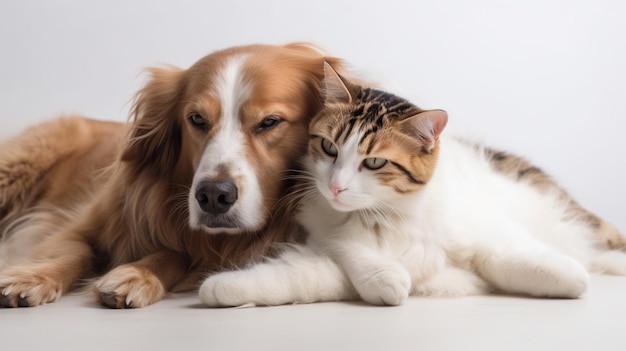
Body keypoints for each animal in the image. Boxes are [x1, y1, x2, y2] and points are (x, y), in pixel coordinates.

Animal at [0, 43, 342, 308]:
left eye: (270, 122)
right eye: (197, 119)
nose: (213, 197)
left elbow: (176, 255)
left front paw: (138, 273)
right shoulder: (81, 224)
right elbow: (74, 250)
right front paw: (31, 277)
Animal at [199, 62, 624, 306]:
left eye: (374, 161)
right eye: (328, 147)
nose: (335, 187)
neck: (391, 216)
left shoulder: (481, 225)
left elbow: (508, 254)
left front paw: (566, 274)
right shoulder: (324, 238)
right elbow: (315, 268)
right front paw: (220, 289)